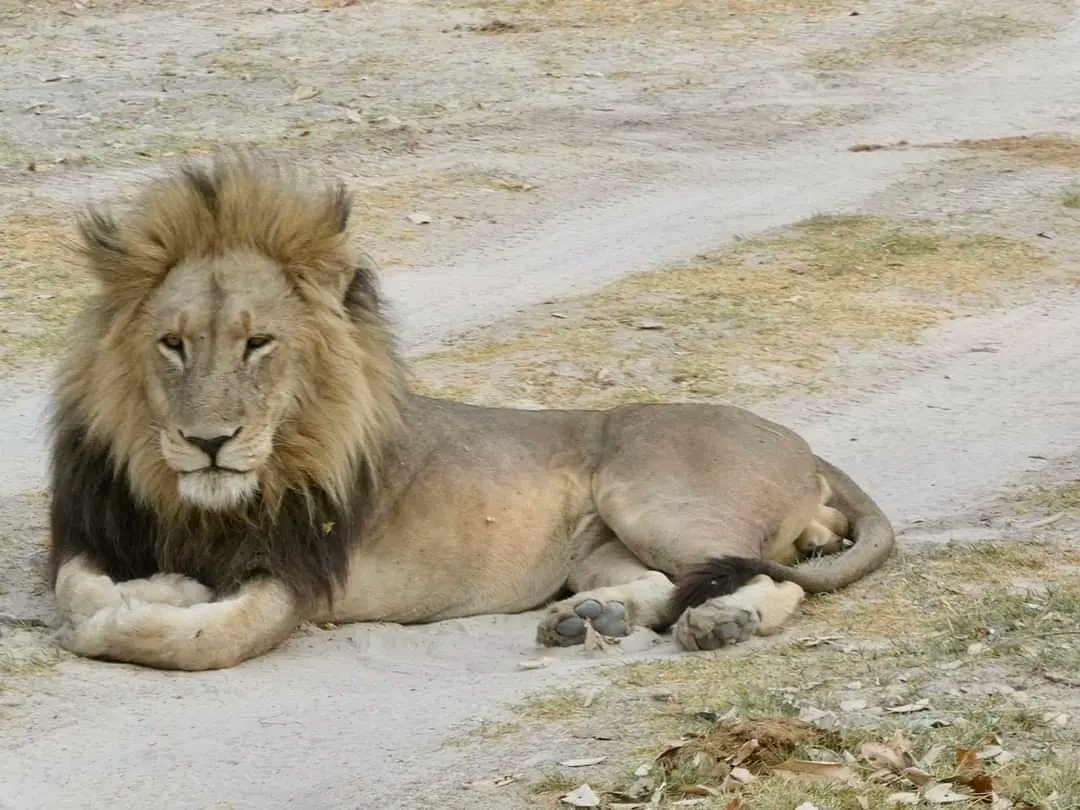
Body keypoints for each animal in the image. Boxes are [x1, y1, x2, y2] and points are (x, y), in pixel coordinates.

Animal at [47, 153, 895, 671]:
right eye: (172, 344)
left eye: (258, 344)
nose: (209, 442)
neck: (194, 498)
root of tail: (801, 444)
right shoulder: (90, 537)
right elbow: (75, 586)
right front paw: (155, 588)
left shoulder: (298, 579)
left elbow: (204, 637)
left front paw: (140, 614)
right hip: (602, 543)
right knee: (664, 583)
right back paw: (589, 619)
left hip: (655, 499)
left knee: (773, 578)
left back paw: (720, 624)